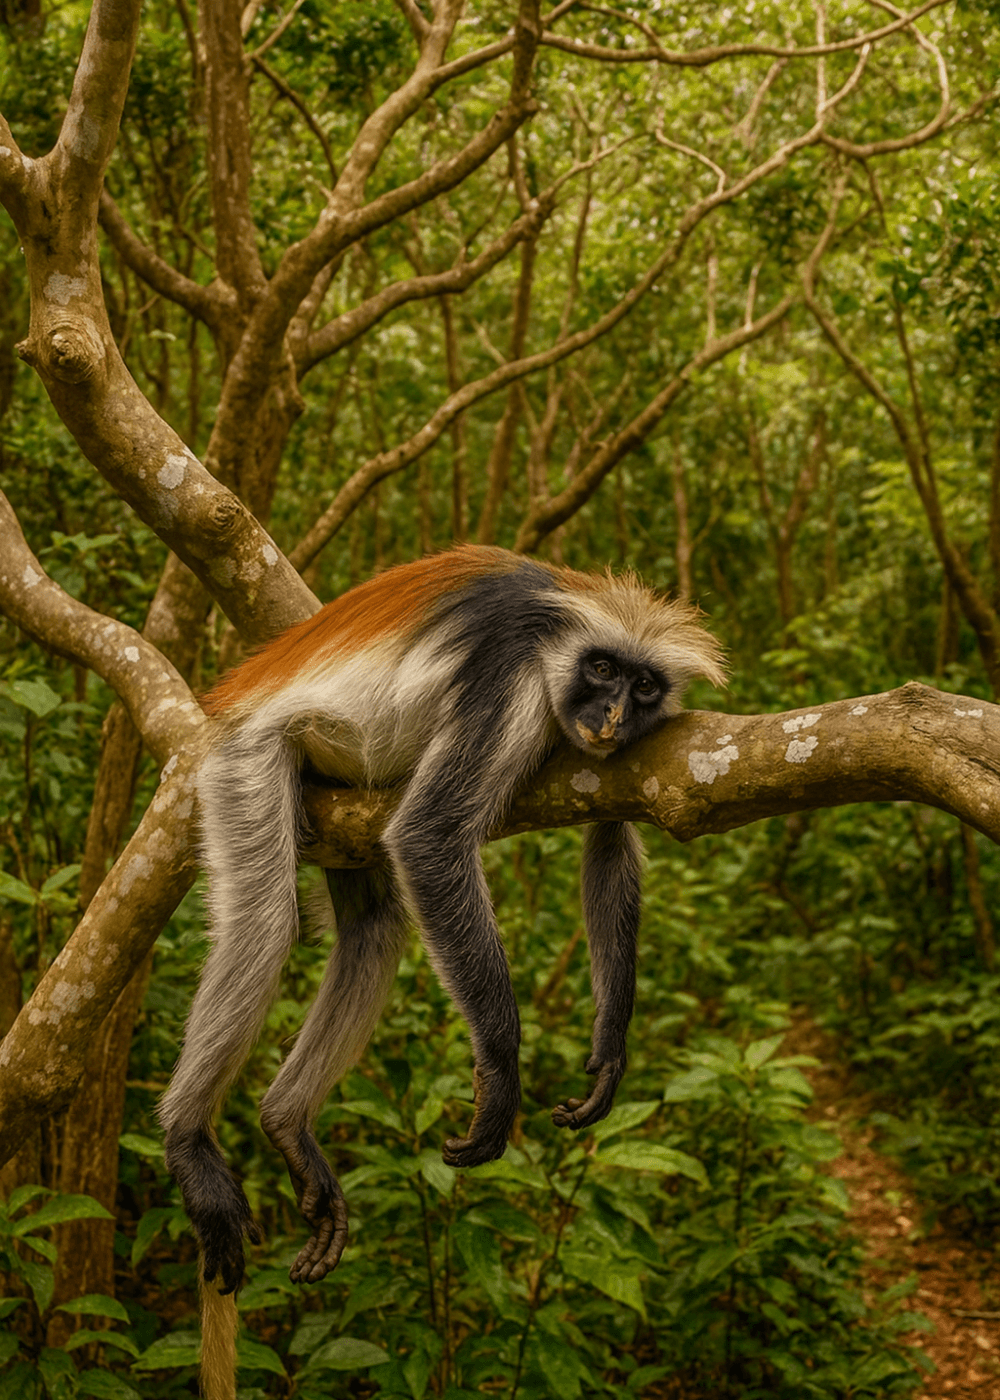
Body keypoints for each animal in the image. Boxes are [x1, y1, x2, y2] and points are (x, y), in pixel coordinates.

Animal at [159, 544, 725, 1310]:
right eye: (602, 670)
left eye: (642, 686)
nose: (609, 715)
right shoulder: (510, 676)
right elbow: (428, 839)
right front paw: (501, 1072)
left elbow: (609, 836)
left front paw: (610, 1049)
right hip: (245, 760)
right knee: (265, 924)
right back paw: (188, 1139)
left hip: (335, 804)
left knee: (375, 926)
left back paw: (286, 1123)